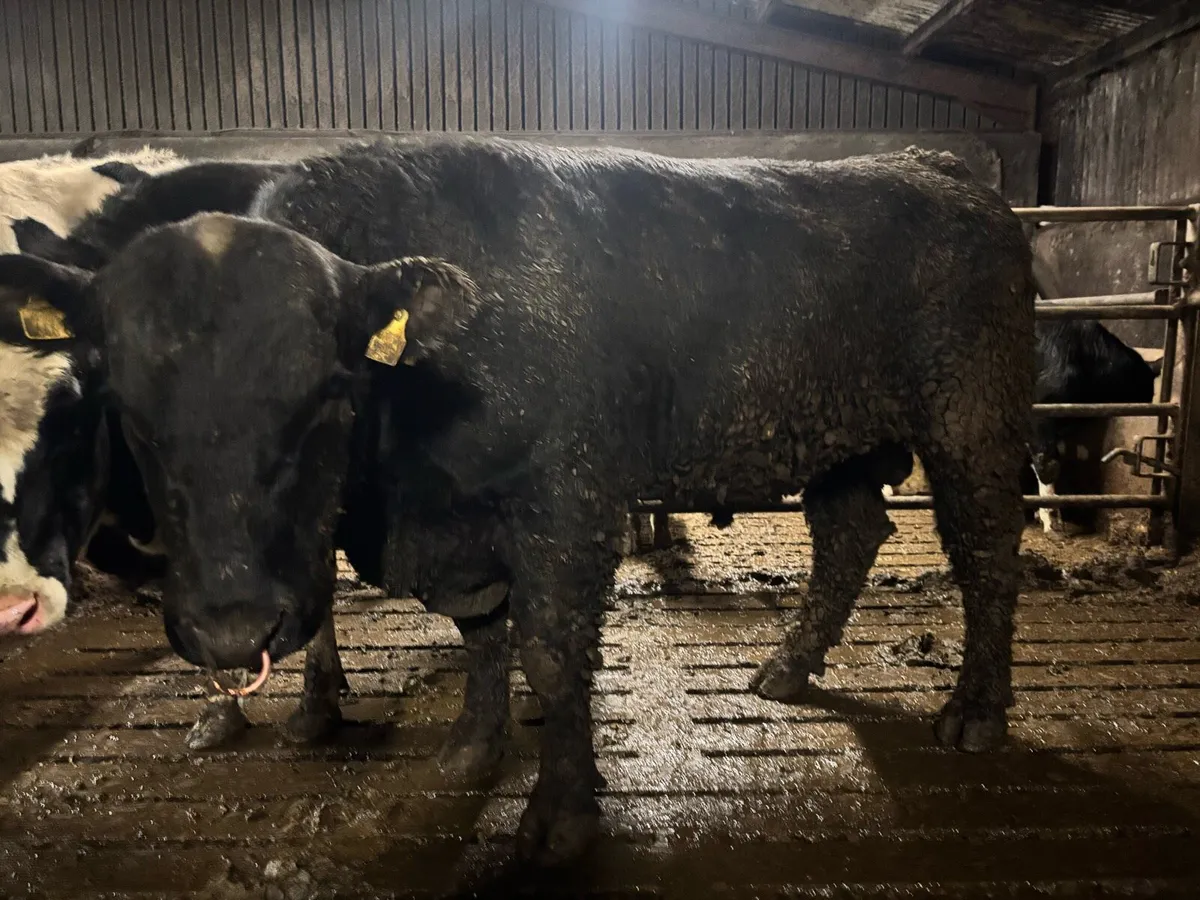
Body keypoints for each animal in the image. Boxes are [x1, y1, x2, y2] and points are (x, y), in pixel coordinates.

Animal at [0, 136, 1035, 865]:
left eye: (330, 390)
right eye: (123, 404)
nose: (229, 629)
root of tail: (940, 167)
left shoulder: (567, 502)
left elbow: (548, 650)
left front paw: (561, 815)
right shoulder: (460, 522)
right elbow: (481, 633)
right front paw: (472, 744)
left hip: (974, 419)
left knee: (988, 553)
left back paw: (975, 713)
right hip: (839, 441)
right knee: (851, 534)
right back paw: (787, 667)